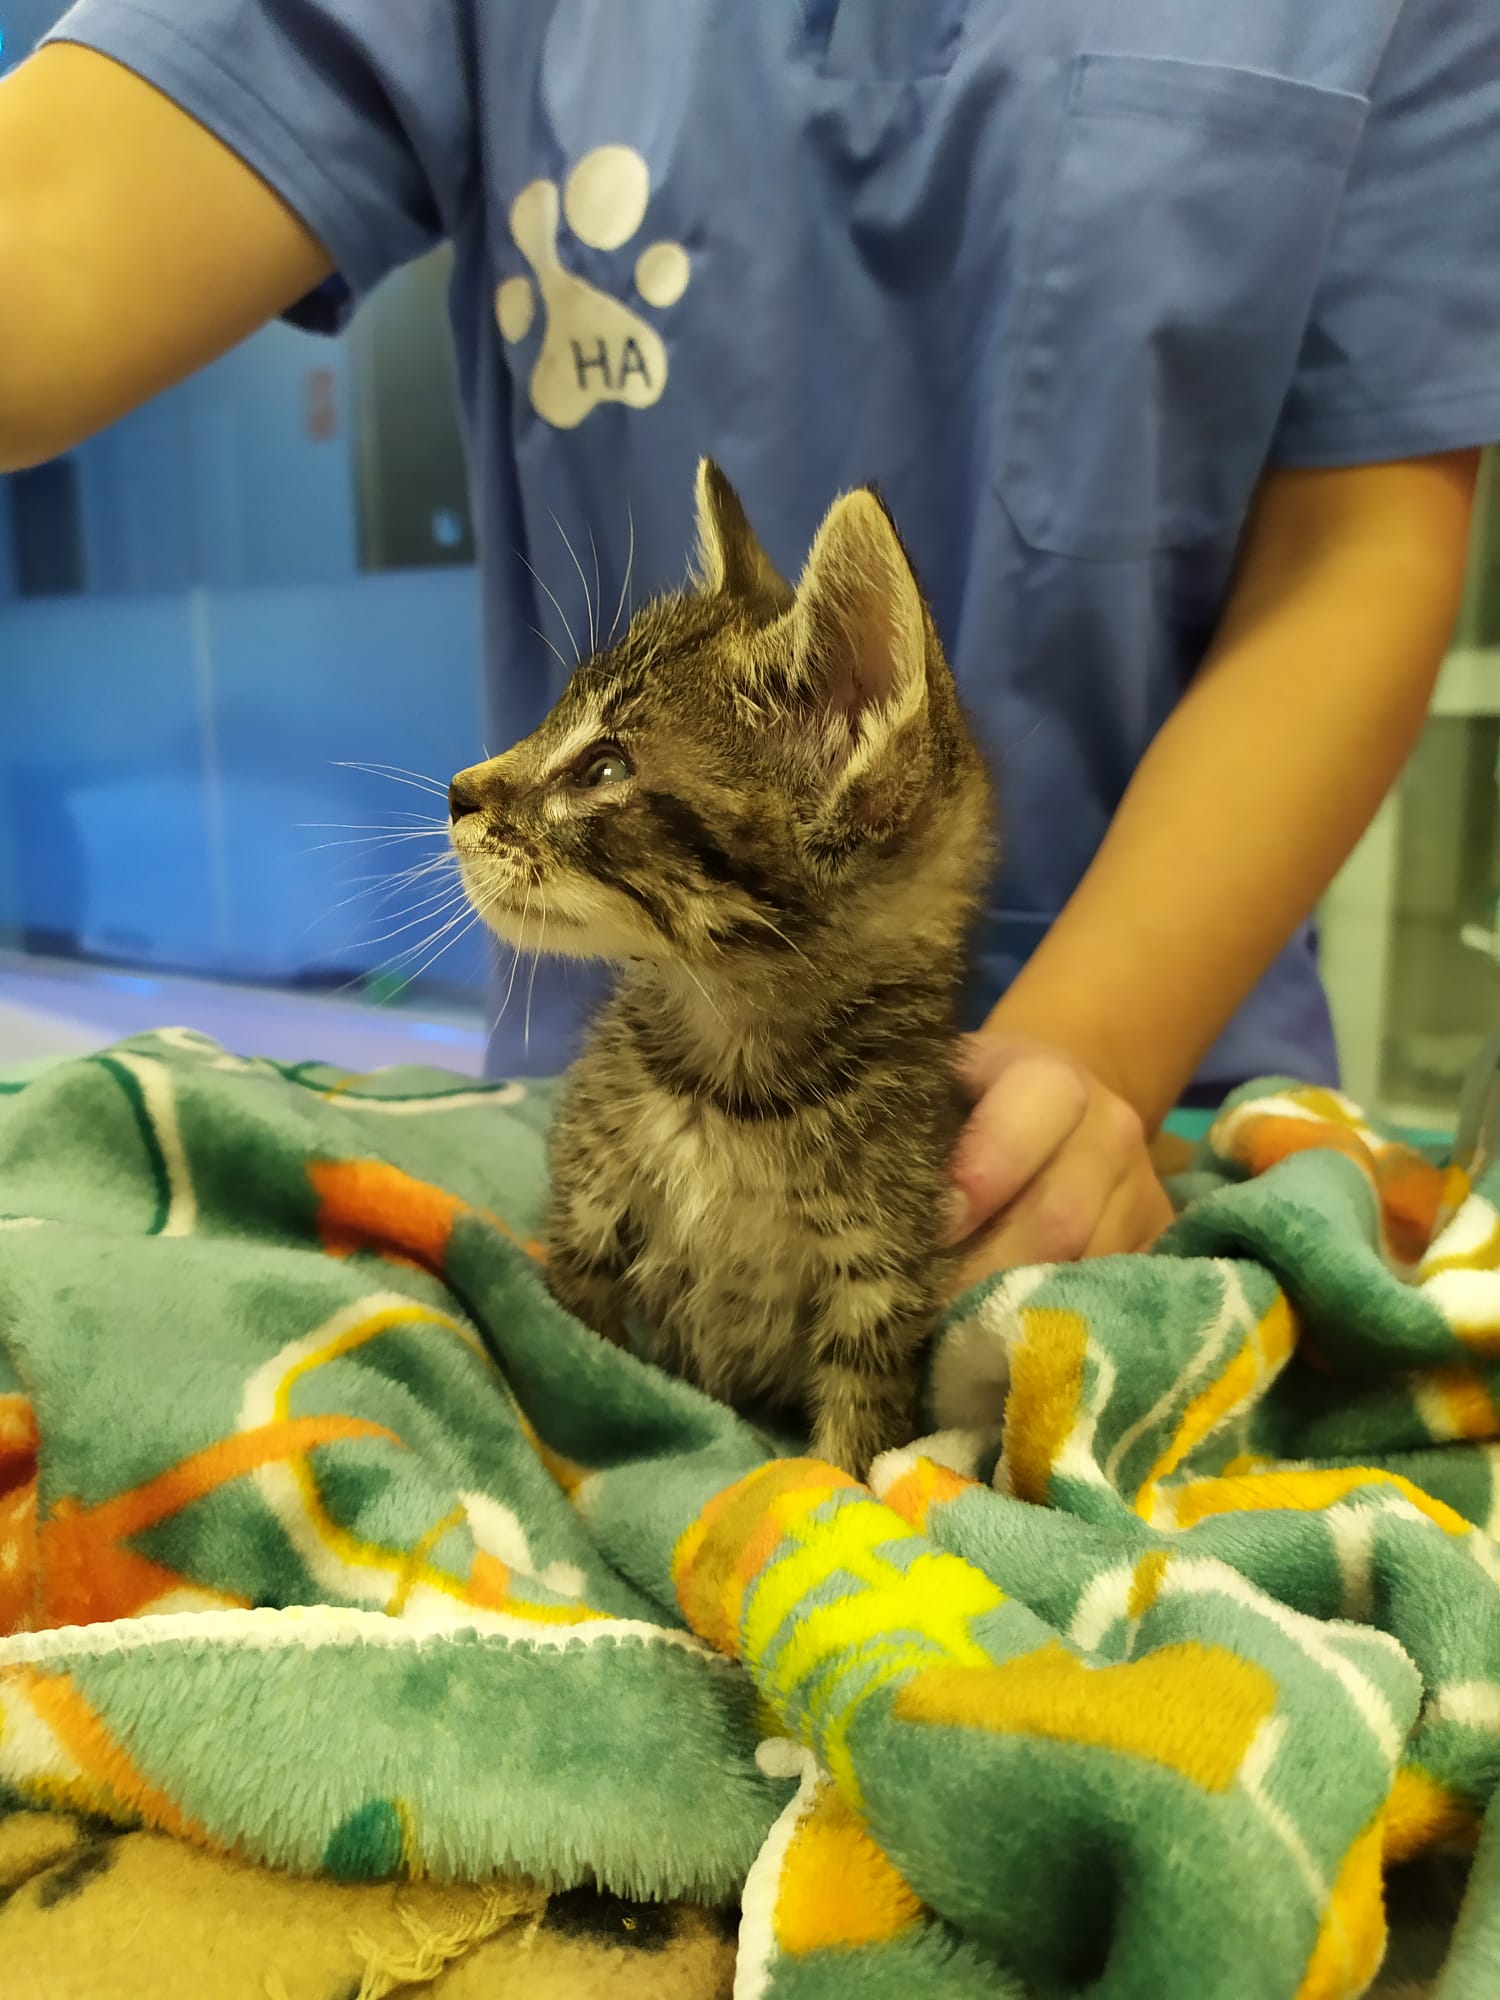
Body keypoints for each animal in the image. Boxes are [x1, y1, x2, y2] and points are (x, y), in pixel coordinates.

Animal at [449, 461, 994, 1476]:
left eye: (606, 768)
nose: (457, 792)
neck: (733, 1087)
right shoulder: (588, 1213)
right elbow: (577, 1353)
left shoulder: (879, 1279)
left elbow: (854, 1442)